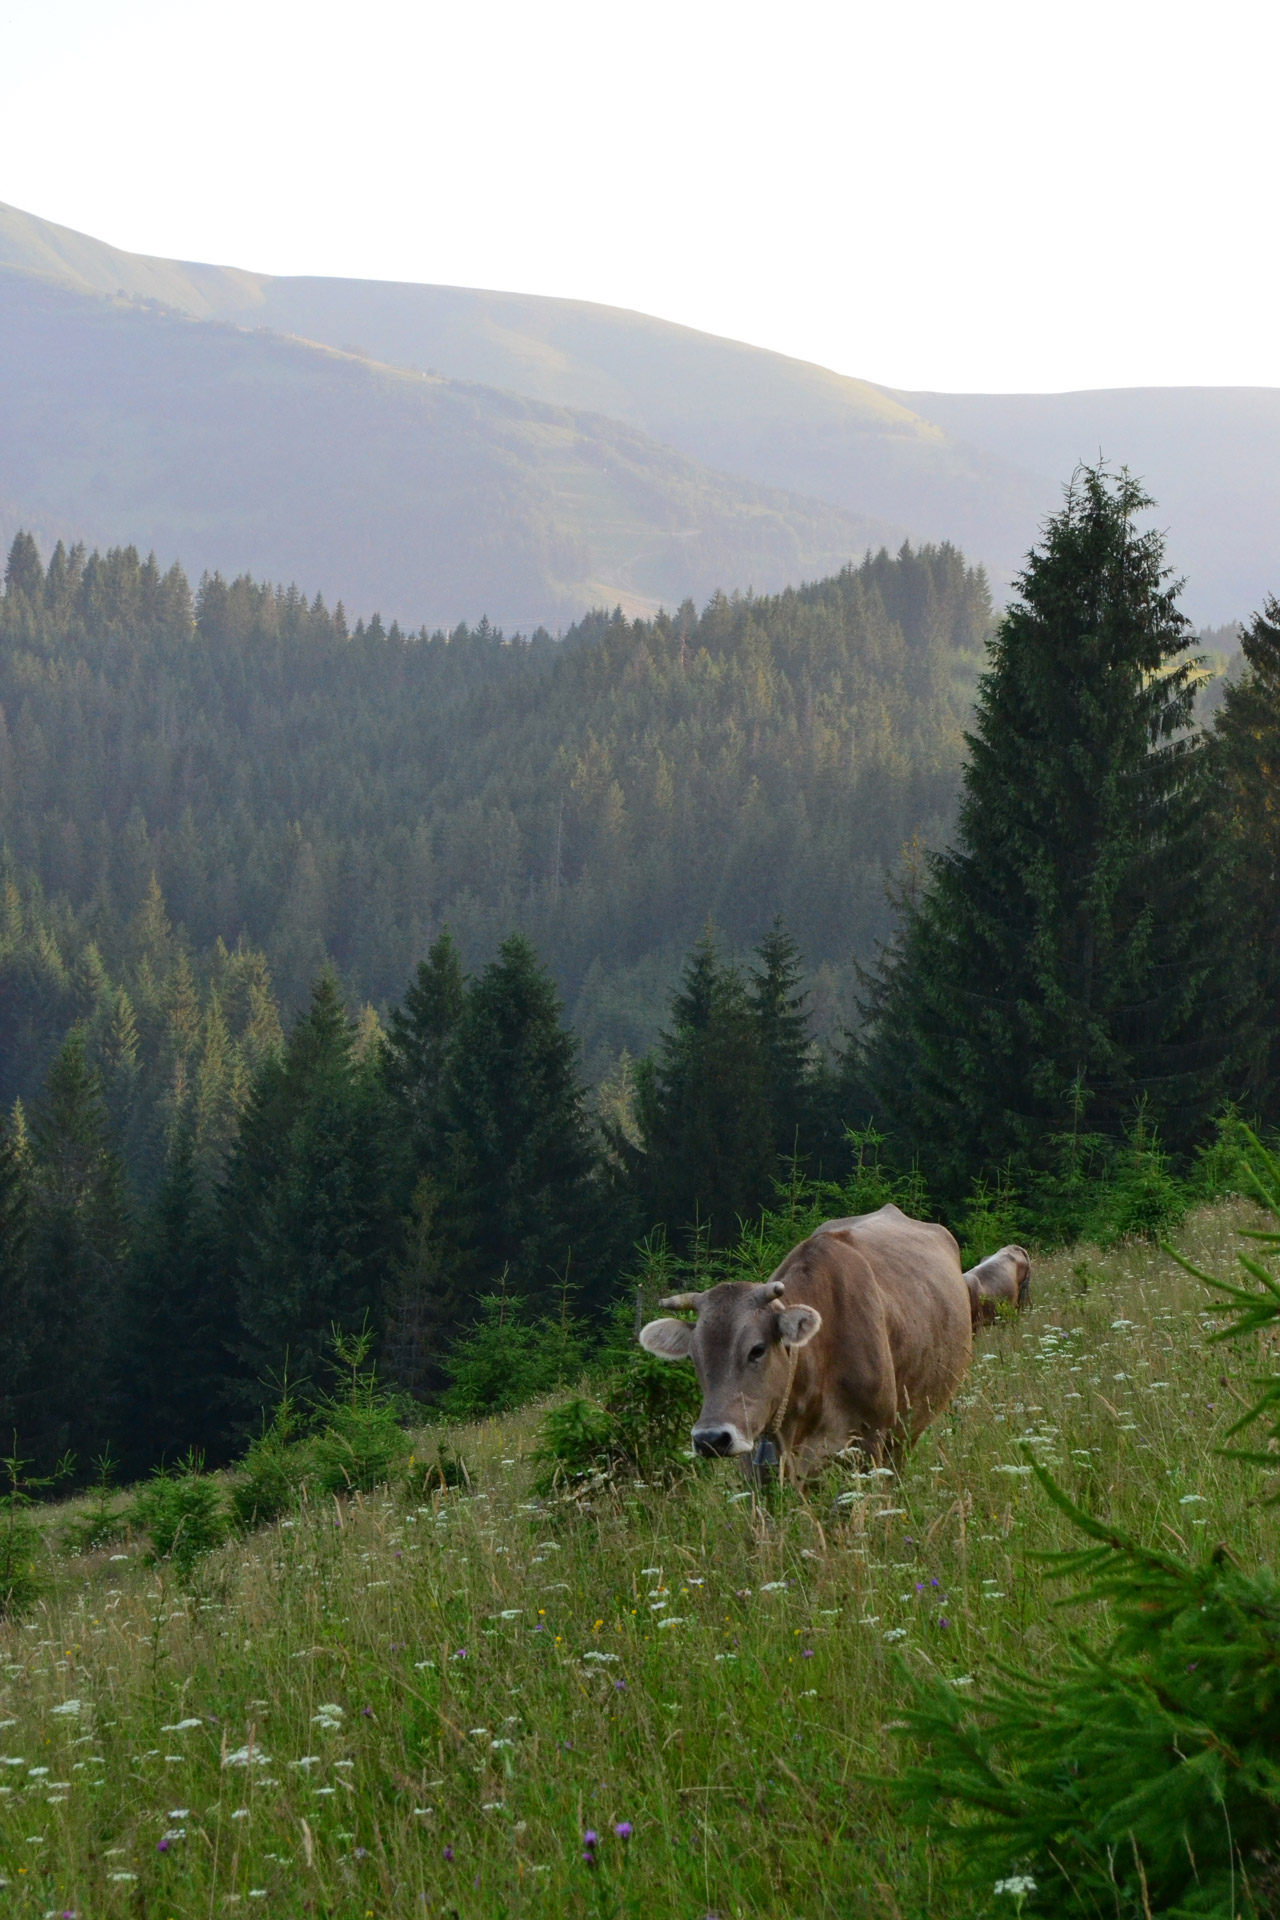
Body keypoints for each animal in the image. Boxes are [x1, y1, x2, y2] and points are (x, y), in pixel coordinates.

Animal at [637, 1198, 974, 1482]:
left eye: (757, 1350)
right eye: (694, 1357)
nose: (710, 1439)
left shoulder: (870, 1440)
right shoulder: (755, 1453)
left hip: (906, 1430)